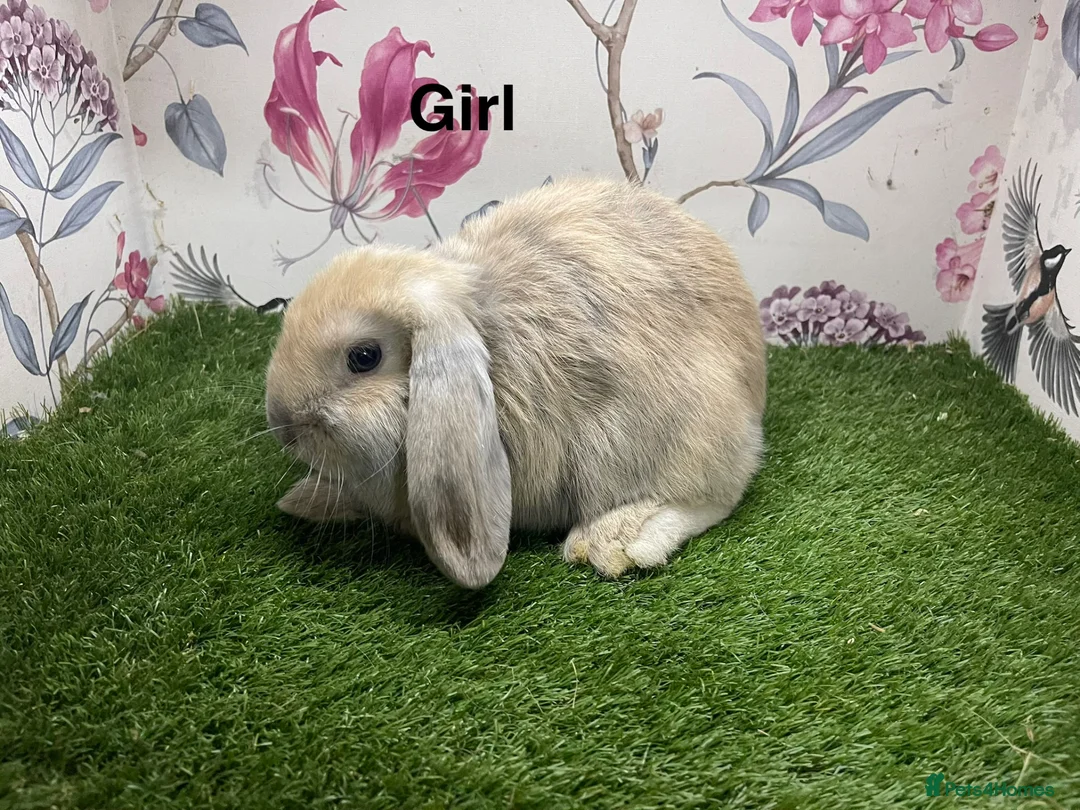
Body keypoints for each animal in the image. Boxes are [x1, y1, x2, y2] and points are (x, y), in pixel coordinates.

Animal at [263, 175, 767, 589]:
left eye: (364, 357)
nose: (283, 427)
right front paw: (309, 499)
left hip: (681, 428)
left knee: (716, 496)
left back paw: (612, 540)